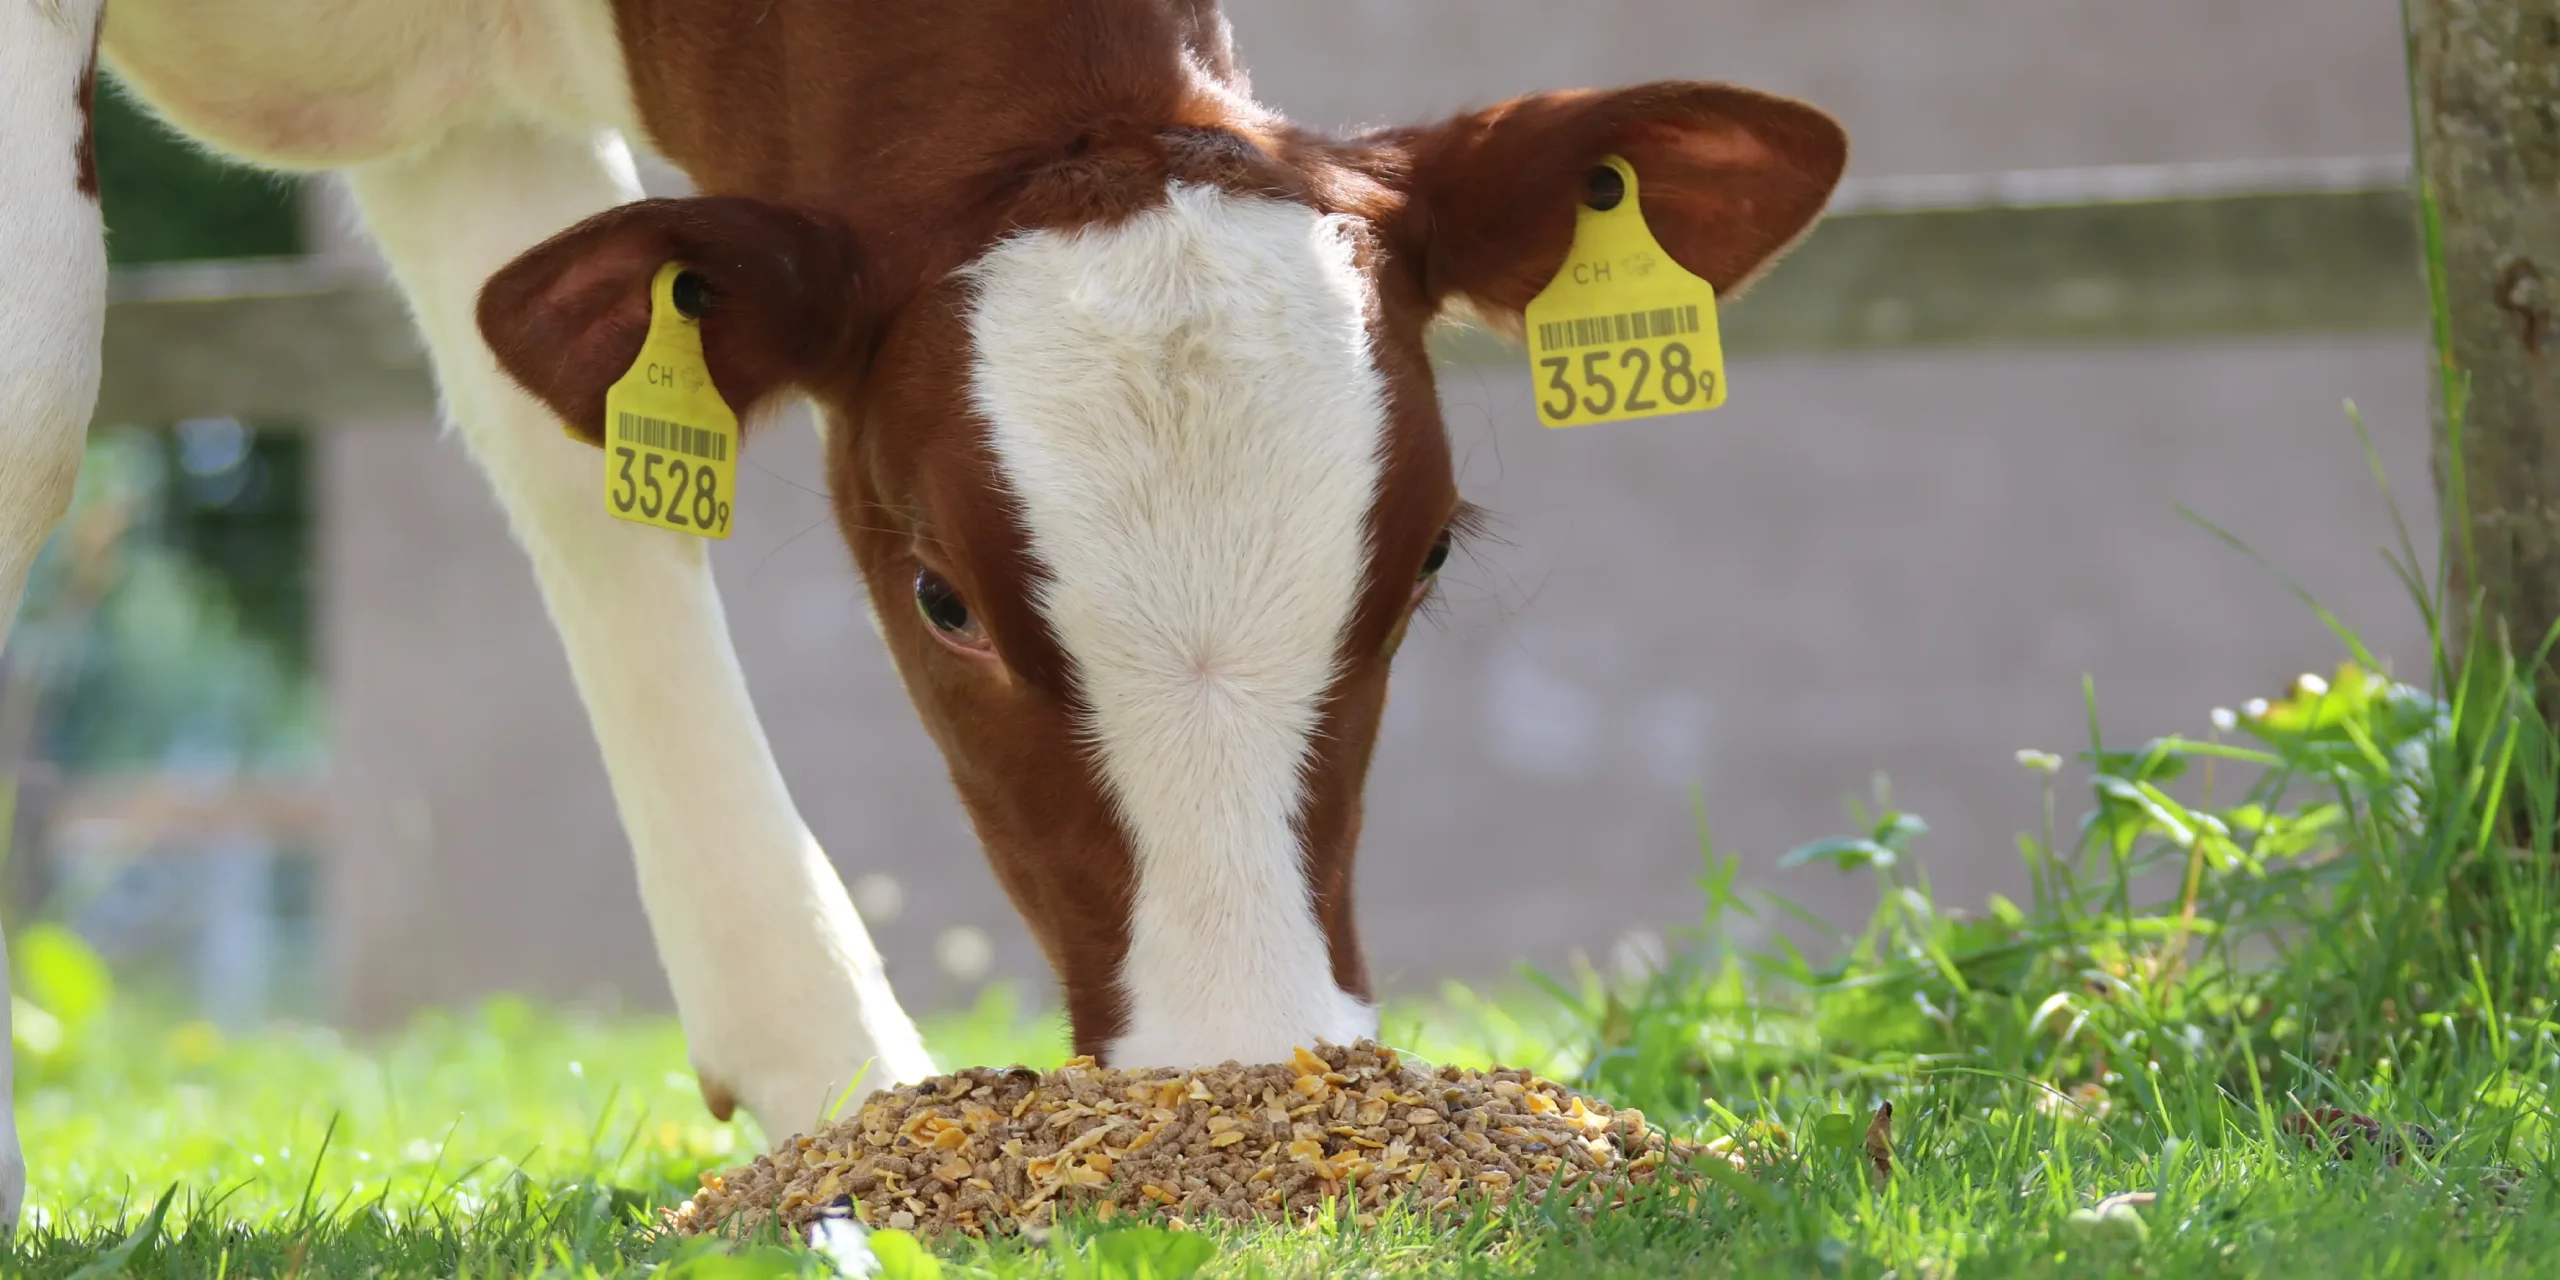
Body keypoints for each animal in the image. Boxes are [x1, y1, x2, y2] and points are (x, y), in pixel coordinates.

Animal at [0, 0, 1843, 1223]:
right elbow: (37, 404)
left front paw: (829, 1078)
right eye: (942, 597)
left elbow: (585, 475)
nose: (1240, 1065)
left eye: (1432, 559)